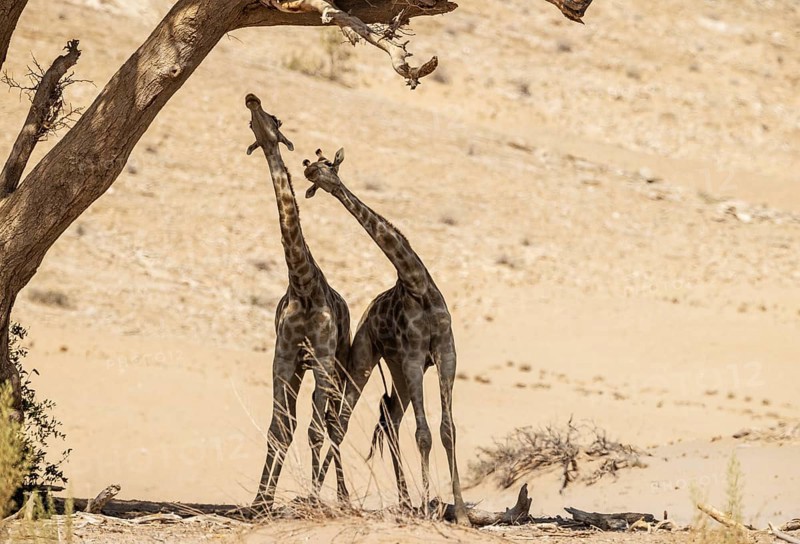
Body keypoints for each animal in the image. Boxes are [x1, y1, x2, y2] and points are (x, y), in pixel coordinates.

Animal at [245, 94, 351, 509]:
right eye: (252, 123)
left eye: (275, 119)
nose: (251, 99)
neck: (303, 284)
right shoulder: (284, 357)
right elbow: (279, 428)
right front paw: (260, 503)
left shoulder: (322, 357)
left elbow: (315, 430)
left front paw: (314, 499)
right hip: (304, 370)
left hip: (337, 367)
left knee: (332, 424)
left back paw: (340, 498)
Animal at [302, 148, 470, 526]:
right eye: (316, 166)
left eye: (328, 166)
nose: (310, 172)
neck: (416, 283)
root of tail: (366, 318)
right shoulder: (414, 356)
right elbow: (424, 434)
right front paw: (429, 509)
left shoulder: (445, 353)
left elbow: (447, 430)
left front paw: (462, 513)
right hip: (367, 359)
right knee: (341, 423)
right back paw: (327, 496)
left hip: (398, 369)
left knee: (390, 421)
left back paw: (405, 501)